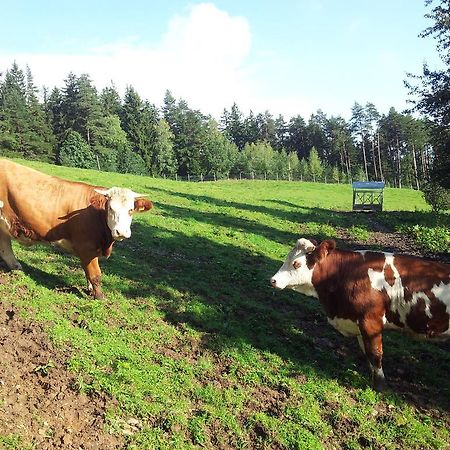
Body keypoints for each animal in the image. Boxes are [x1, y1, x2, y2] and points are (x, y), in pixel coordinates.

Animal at [270, 239, 450, 390]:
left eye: (296, 264)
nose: (273, 280)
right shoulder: (357, 322)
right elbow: (366, 351)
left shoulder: (371, 320)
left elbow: (375, 353)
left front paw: (381, 386)